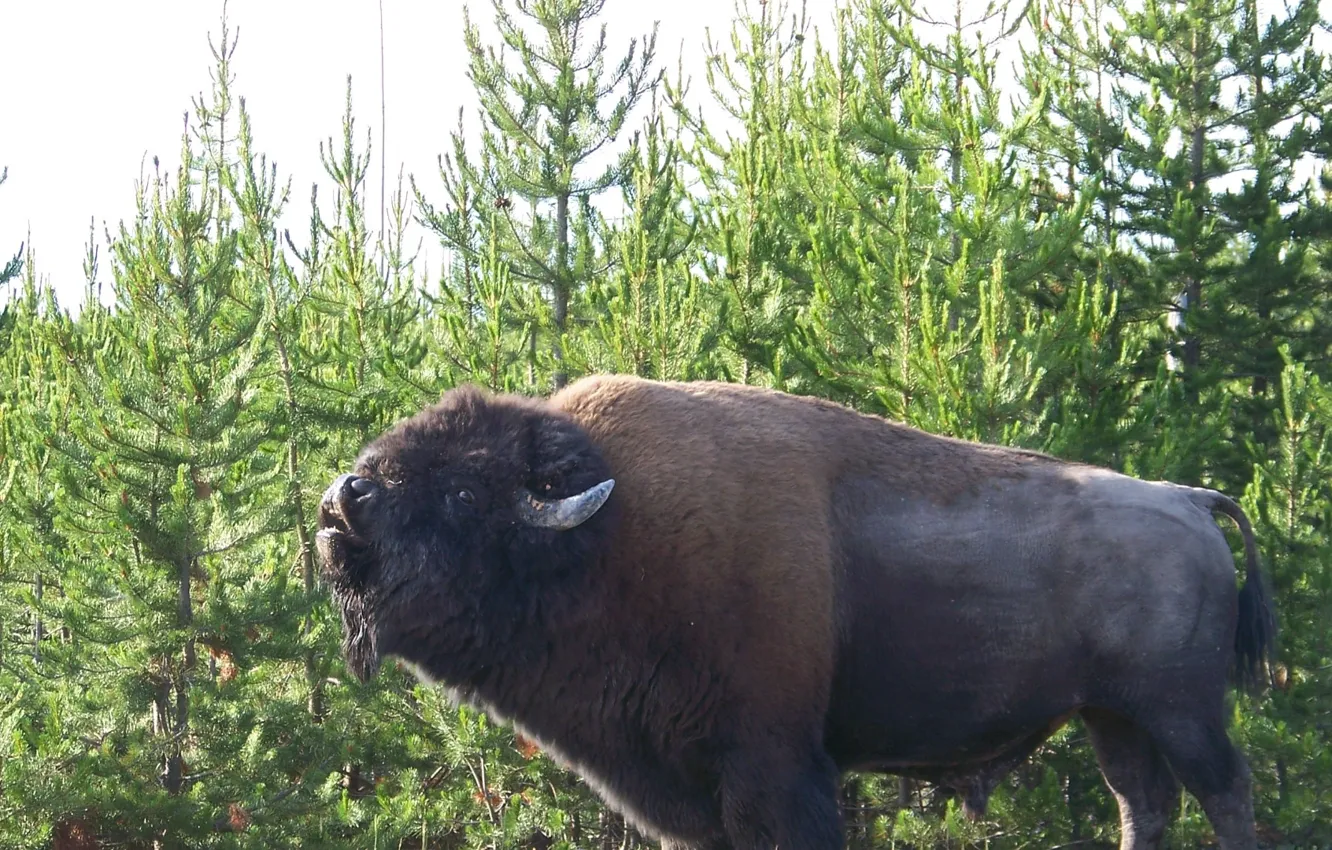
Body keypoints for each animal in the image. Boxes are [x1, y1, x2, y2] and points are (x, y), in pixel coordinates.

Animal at [317, 375, 1275, 850]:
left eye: (466, 493)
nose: (342, 499)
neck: (611, 530)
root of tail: (1190, 499)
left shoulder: (773, 765)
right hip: (1113, 715)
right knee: (1143, 803)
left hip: (1182, 711)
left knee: (1226, 795)